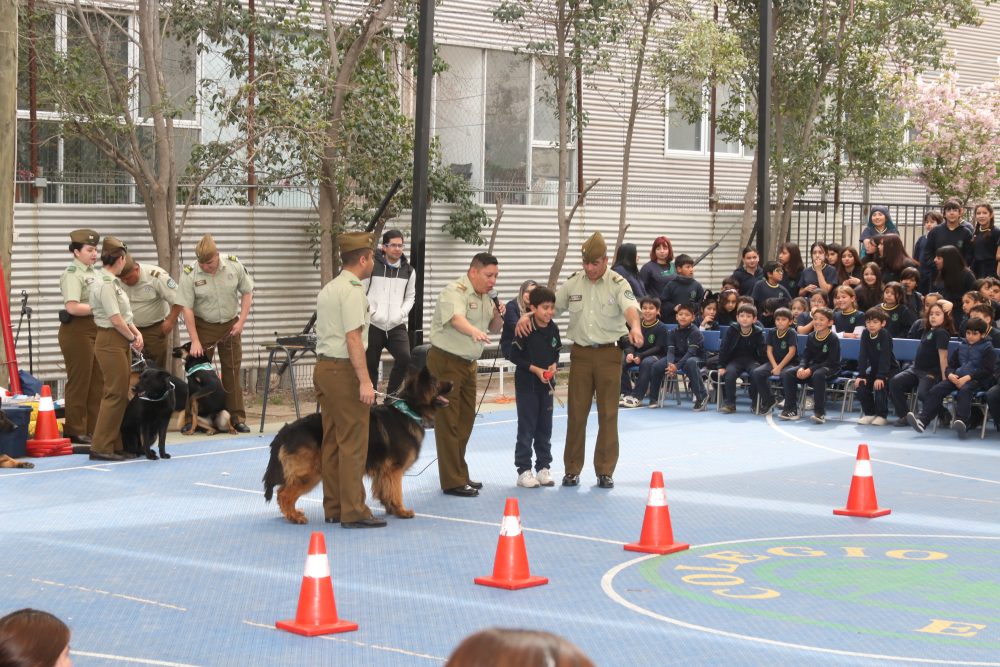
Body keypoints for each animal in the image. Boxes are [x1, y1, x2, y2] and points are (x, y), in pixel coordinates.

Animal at [266, 366, 454, 528]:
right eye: (436, 383)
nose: (452, 383)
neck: (408, 409)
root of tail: (286, 430)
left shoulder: (383, 472)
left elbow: (385, 491)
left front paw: (390, 508)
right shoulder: (394, 470)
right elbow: (396, 492)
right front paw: (401, 511)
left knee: (282, 493)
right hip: (310, 473)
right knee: (283, 494)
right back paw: (294, 517)